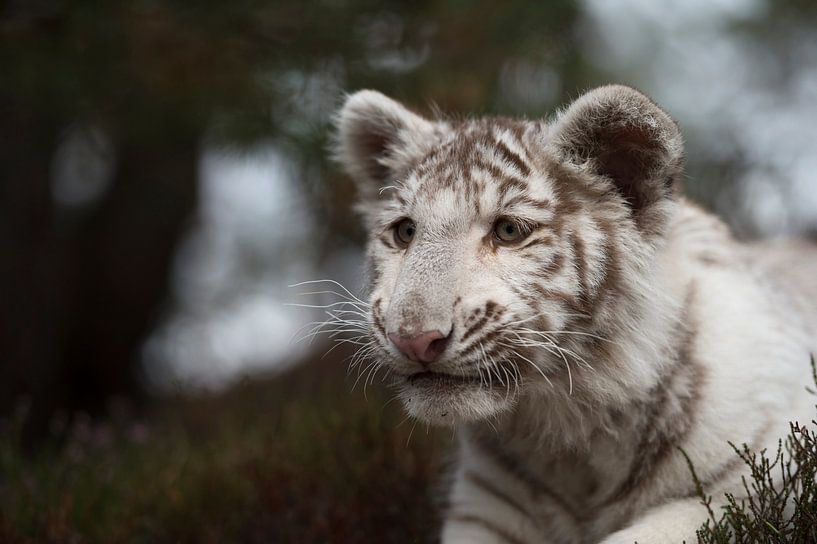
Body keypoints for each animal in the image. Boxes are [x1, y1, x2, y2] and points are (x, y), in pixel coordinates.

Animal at [331, 85, 817, 543]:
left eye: (508, 231)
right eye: (405, 232)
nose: (413, 339)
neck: (575, 435)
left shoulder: (745, 487)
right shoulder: (486, 512)